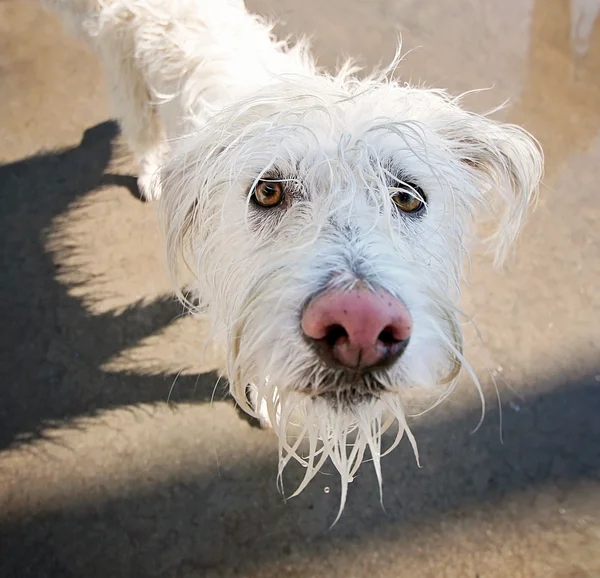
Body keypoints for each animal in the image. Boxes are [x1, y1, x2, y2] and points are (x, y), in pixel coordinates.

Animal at [39, 0, 540, 516]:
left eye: (406, 196)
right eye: (268, 191)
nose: (360, 325)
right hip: (129, 88)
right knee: (138, 135)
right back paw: (149, 174)